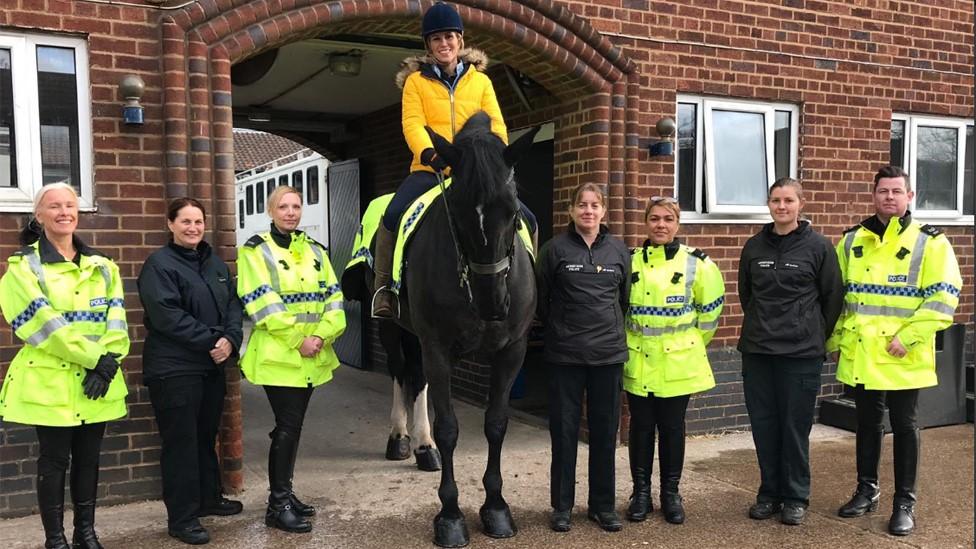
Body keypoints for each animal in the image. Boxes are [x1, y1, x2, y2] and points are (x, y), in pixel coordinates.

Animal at [392, 112, 536, 548]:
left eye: (512, 209)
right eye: (454, 208)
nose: (493, 302)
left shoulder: (512, 351)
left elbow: (496, 424)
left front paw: (496, 507)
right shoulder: (437, 348)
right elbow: (449, 428)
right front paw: (451, 515)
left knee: (414, 379)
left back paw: (422, 448)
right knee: (400, 374)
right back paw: (402, 439)